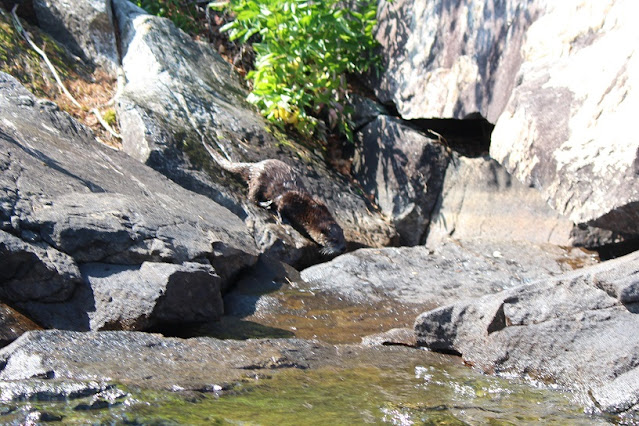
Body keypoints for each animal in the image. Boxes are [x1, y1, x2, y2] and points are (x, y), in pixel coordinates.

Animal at [204, 143, 346, 255]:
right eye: (334, 240)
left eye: (343, 238)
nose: (343, 248)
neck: (311, 211)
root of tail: (255, 166)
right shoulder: (290, 198)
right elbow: (280, 205)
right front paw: (284, 219)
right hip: (258, 181)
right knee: (251, 196)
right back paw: (265, 204)